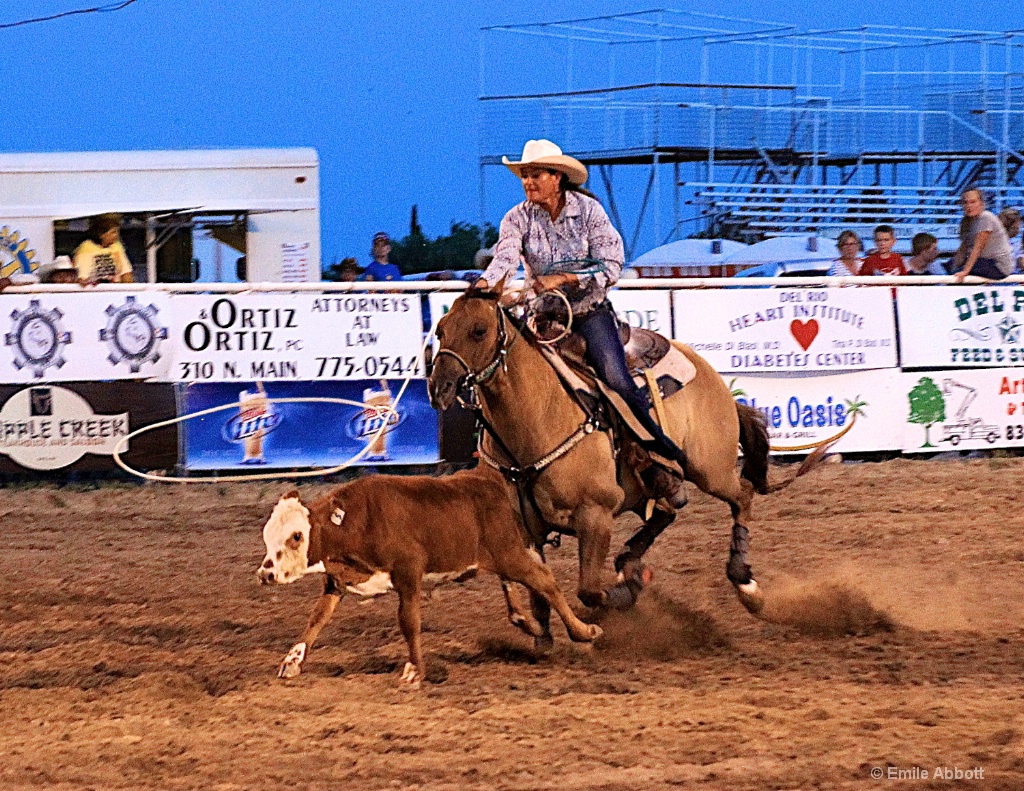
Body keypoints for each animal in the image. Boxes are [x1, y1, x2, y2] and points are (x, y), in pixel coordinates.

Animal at [256, 467, 602, 688]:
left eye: (297, 535)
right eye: (268, 535)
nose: (266, 573)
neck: (358, 522)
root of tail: (485, 481)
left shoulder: (409, 572)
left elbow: (409, 622)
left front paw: (413, 671)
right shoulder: (336, 582)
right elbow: (316, 619)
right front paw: (292, 661)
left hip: (509, 553)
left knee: (545, 581)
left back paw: (585, 631)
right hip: (505, 557)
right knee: (521, 584)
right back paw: (534, 626)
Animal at [428, 284, 811, 643]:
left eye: (479, 331)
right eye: (440, 330)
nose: (439, 388)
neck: (539, 417)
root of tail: (704, 369)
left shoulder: (595, 514)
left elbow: (588, 590)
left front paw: (624, 595)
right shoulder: (520, 527)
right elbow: (531, 585)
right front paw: (540, 632)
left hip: (710, 470)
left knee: (741, 496)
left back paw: (746, 585)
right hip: (650, 485)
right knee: (666, 511)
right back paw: (629, 561)